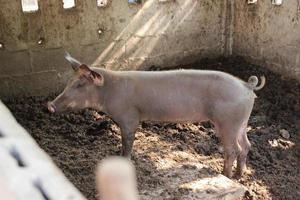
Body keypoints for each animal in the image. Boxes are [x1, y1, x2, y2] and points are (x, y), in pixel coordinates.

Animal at [48, 52, 266, 177]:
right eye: (69, 81)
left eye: (80, 85)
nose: (50, 105)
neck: (109, 91)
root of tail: (247, 85)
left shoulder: (129, 117)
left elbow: (128, 143)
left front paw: (125, 160)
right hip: (241, 122)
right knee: (246, 146)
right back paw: (239, 175)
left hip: (227, 122)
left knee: (232, 150)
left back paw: (226, 175)